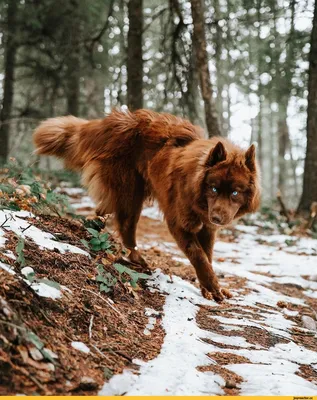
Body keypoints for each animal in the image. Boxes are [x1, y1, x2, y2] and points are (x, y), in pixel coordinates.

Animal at [32, 108, 260, 302]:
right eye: (213, 189)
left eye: (235, 193)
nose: (217, 218)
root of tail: (118, 121)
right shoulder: (179, 224)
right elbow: (199, 256)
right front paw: (213, 287)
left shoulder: (207, 229)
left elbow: (207, 257)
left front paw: (208, 289)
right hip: (130, 195)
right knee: (124, 225)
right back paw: (133, 257)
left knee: (104, 214)